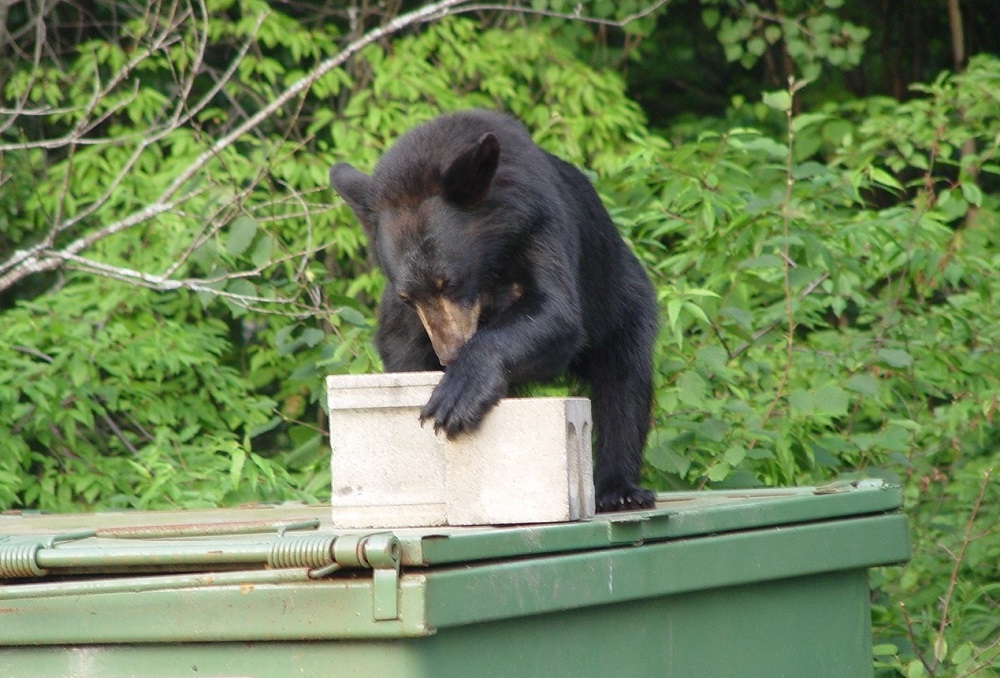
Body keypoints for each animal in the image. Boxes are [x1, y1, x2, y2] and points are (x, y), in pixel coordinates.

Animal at [328, 111, 656, 512]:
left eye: (449, 282)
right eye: (409, 297)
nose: (448, 354)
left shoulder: (538, 226)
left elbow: (554, 312)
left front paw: (458, 393)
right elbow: (403, 350)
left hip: (621, 300)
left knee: (624, 383)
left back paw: (620, 489)